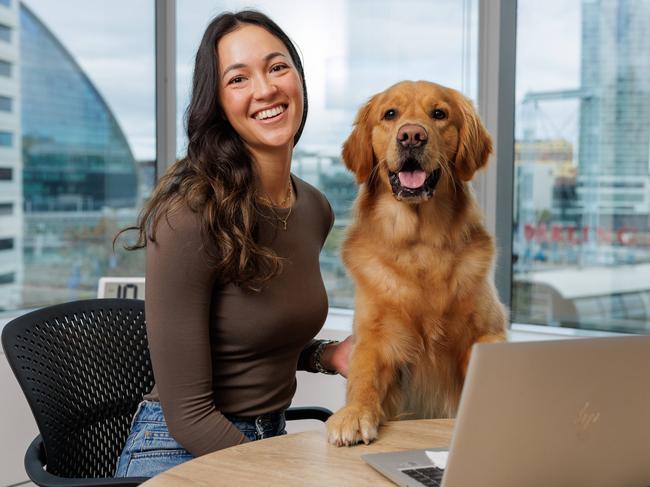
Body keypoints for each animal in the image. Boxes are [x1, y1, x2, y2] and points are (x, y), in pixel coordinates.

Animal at [324, 79, 506, 446]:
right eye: (390, 114)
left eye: (439, 114)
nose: (411, 136)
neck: (420, 244)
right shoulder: (375, 336)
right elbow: (364, 375)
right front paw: (354, 414)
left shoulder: (486, 331)